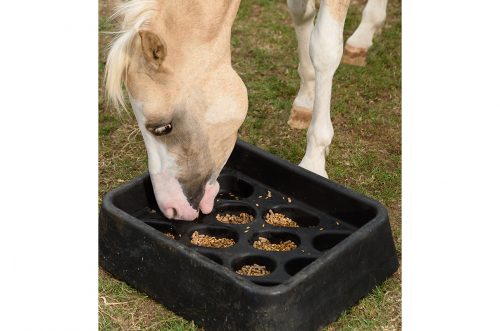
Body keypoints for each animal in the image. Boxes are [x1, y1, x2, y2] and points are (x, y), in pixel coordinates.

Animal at [103, 0, 388, 223]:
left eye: (163, 127)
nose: (171, 209)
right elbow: (301, 13)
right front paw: (305, 100)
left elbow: (324, 49)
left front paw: (314, 162)